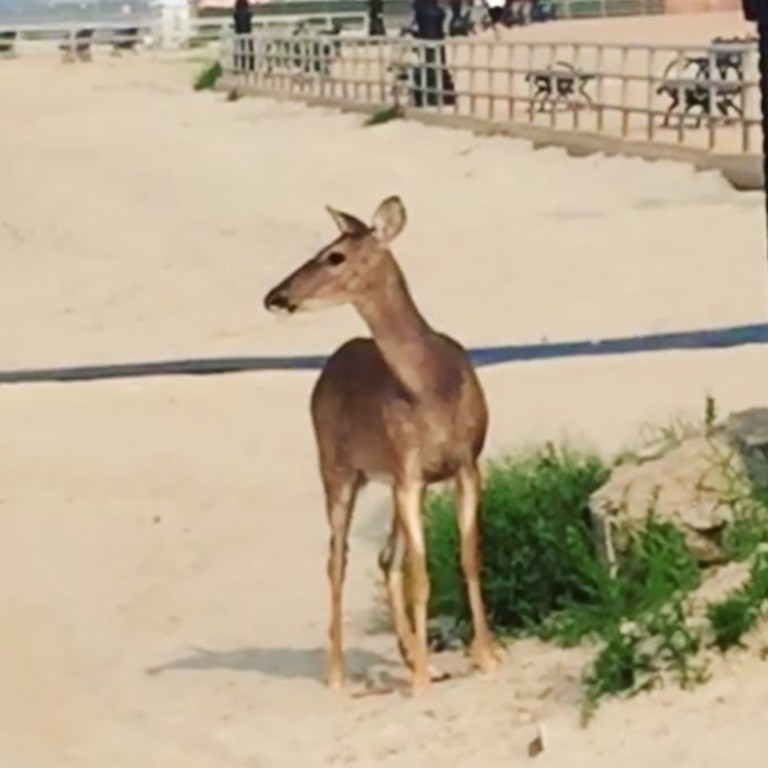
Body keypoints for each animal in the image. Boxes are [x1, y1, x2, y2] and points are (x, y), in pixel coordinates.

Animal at [263, 195, 499, 694]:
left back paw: (412, 659)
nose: (275, 296)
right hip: (336, 468)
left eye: (334, 255)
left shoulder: (464, 465)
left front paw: (486, 658)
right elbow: (421, 576)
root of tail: (330, 364)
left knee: (385, 558)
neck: (431, 389)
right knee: (337, 559)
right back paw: (337, 674)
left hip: (385, 481)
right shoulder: (409, 473)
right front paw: (423, 679)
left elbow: (467, 558)